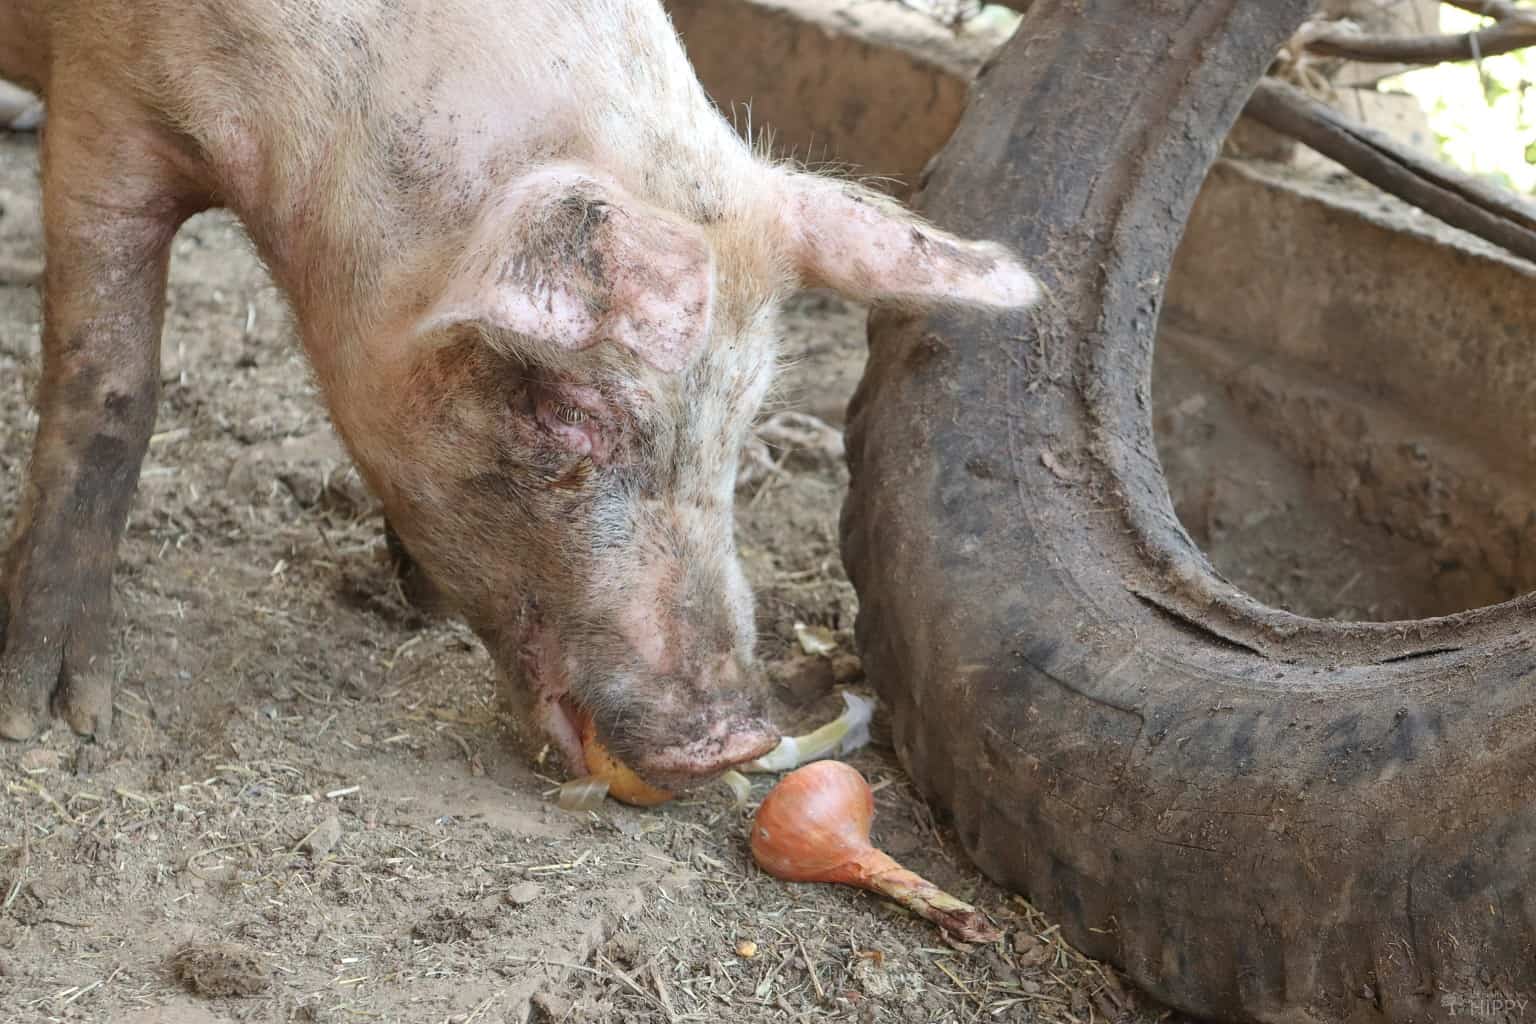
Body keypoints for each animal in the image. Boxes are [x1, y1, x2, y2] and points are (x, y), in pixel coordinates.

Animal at [0, 0, 1039, 788]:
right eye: (568, 412)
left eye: (742, 423)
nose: (734, 741)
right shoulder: (104, 97)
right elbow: (111, 388)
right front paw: (56, 719)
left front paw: (416, 599)